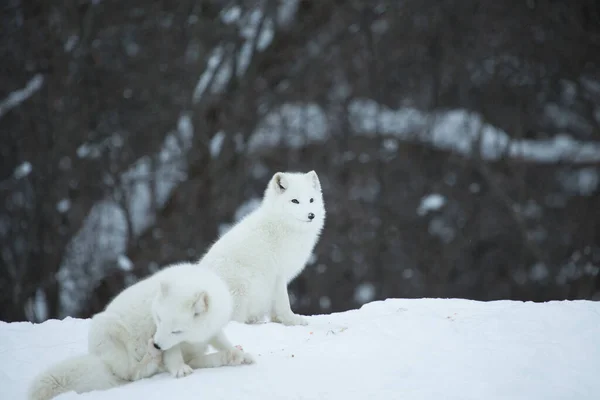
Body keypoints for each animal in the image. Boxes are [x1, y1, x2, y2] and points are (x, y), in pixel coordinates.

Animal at [27, 262, 253, 400]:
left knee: (194, 362)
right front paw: (178, 368)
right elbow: (172, 355)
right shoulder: (161, 336)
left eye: (176, 331)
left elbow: (222, 340)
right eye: (158, 319)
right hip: (110, 332)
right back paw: (151, 358)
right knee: (132, 374)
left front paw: (236, 351)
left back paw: (230, 356)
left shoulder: (212, 330)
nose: (157, 344)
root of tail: (99, 359)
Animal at [199, 170, 326, 326]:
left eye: (311, 200)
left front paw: (278, 320)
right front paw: (292, 320)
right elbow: (284, 303)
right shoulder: (279, 275)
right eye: (295, 201)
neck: (283, 225)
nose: (311, 215)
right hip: (241, 288)